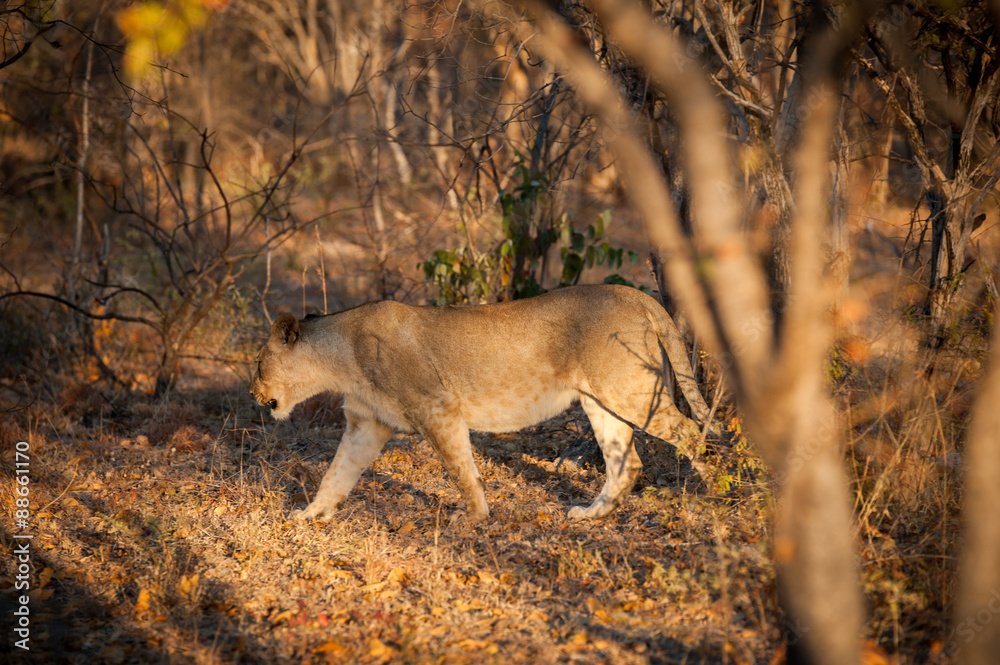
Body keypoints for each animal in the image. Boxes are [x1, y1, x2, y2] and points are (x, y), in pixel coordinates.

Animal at [250, 284, 712, 525]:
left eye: (258, 362)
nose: (252, 394)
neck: (341, 360)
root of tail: (632, 292)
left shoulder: (439, 409)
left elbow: (461, 470)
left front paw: (474, 516)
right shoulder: (367, 424)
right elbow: (336, 474)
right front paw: (310, 515)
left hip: (631, 392)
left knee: (692, 433)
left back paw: (714, 500)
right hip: (601, 401)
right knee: (627, 463)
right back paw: (590, 515)